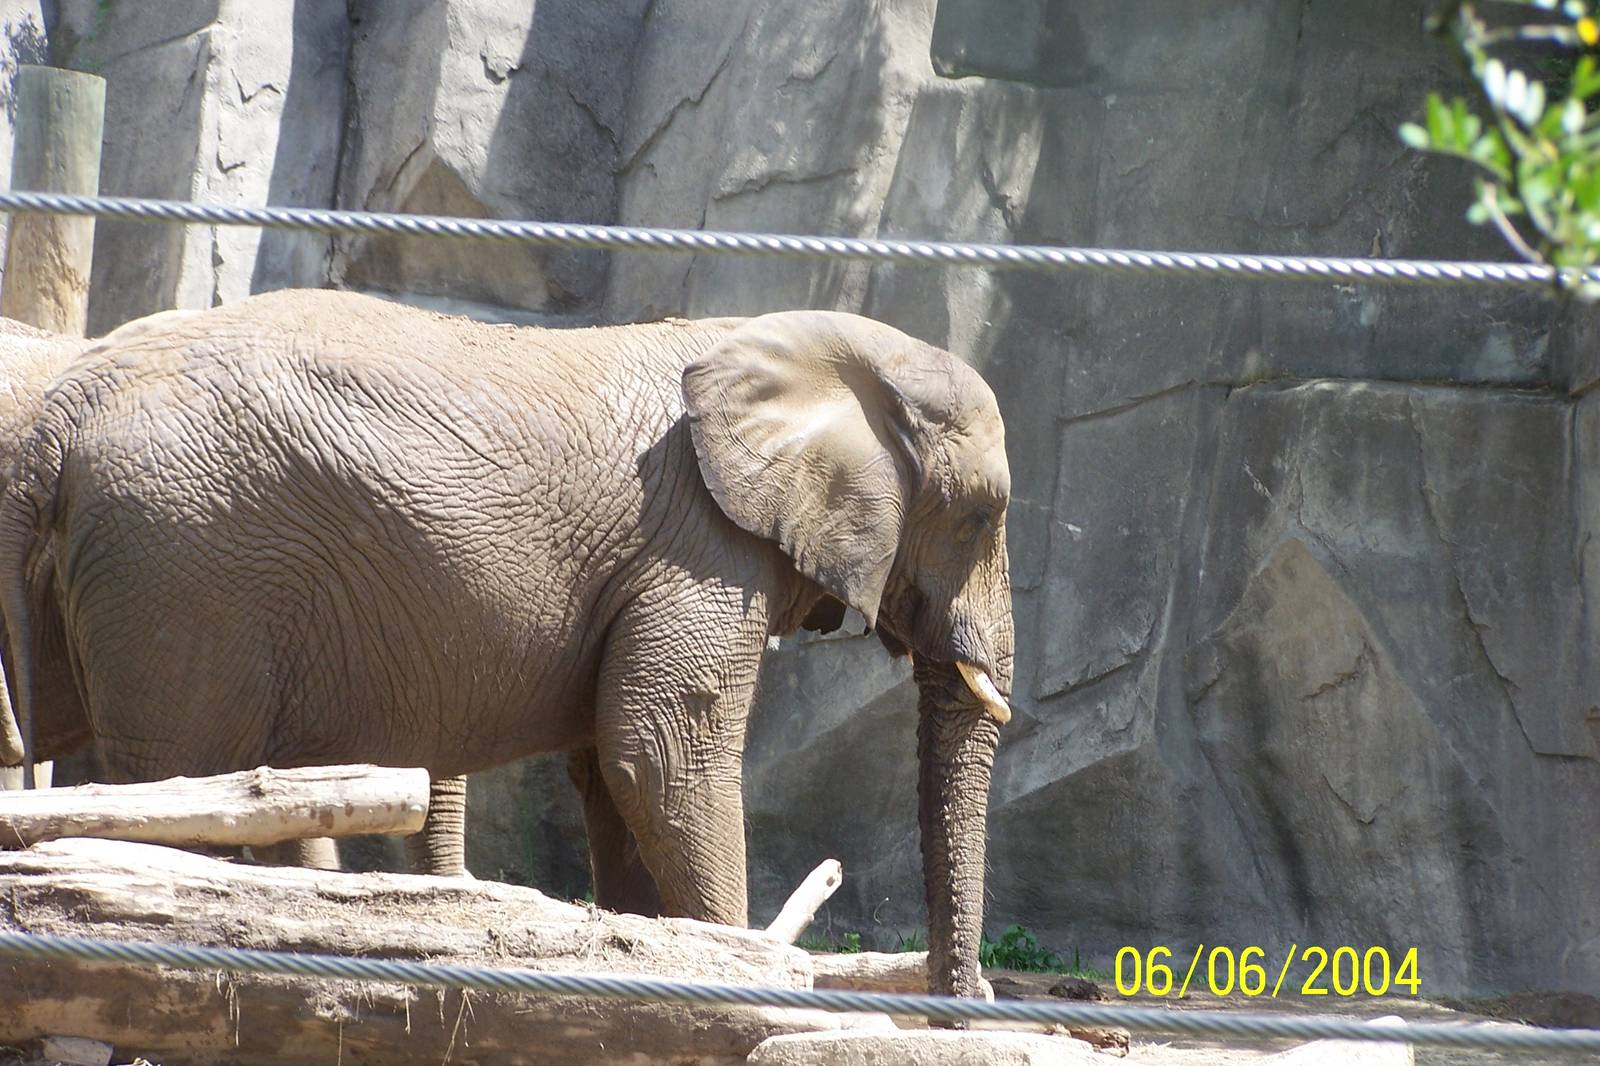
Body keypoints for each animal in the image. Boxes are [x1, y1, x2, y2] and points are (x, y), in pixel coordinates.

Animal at [0, 289, 1015, 997]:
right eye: (983, 516)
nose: (968, 1000)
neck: (801, 337)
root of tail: (66, 416)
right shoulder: (698, 548)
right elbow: (659, 752)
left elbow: (614, 771)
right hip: (185, 565)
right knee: (175, 780)